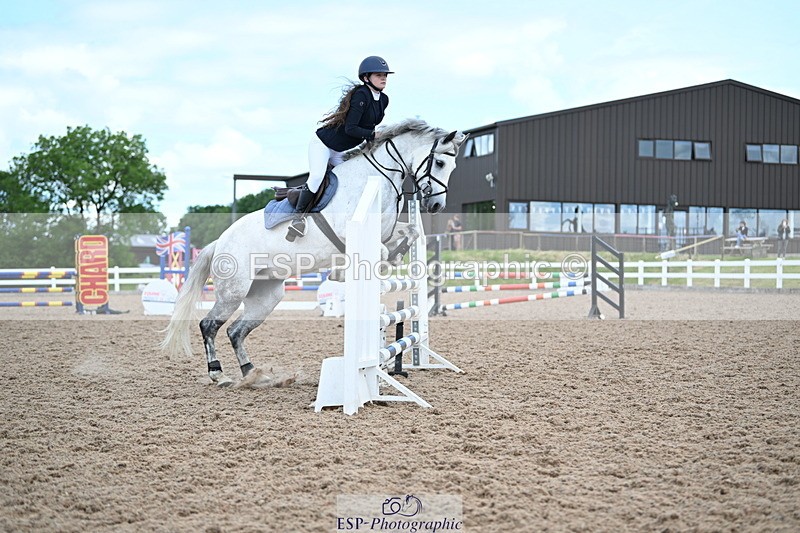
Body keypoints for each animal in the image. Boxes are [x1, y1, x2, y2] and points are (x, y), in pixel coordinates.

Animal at [161, 119, 467, 386]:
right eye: (440, 162)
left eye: (453, 166)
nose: (436, 206)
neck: (375, 178)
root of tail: (220, 242)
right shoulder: (350, 231)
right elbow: (377, 251)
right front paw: (345, 272)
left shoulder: (387, 231)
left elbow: (410, 232)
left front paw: (396, 255)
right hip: (233, 291)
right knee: (209, 325)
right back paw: (218, 374)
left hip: (267, 296)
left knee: (236, 331)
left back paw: (252, 374)